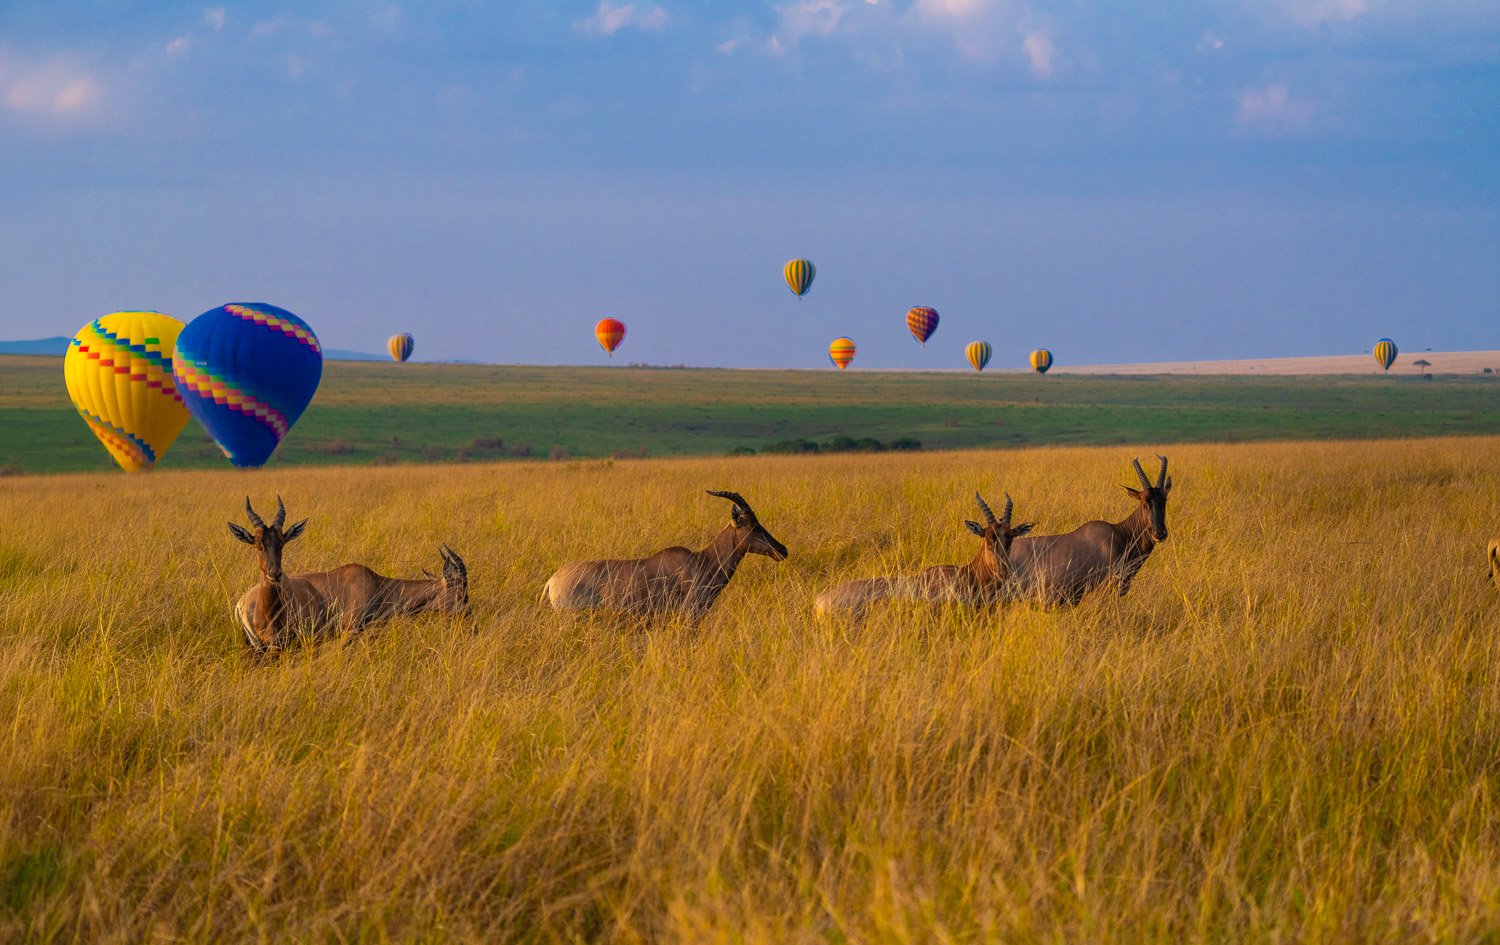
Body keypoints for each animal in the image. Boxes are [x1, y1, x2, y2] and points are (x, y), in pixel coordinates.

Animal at [229, 497, 468, 653]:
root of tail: (242, 602)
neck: (374, 583)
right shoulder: (348, 632)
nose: (468, 620)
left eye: (282, 542)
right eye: (461, 592)